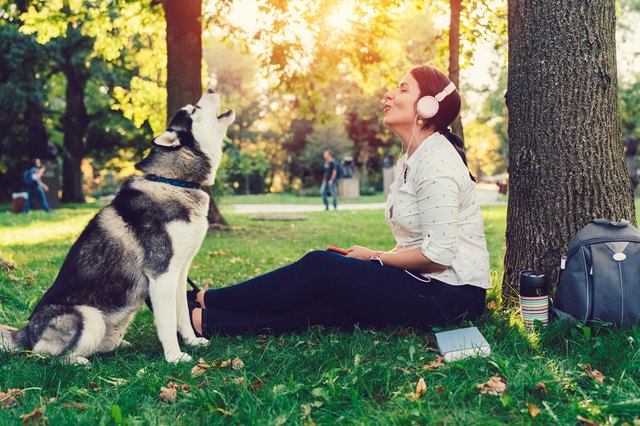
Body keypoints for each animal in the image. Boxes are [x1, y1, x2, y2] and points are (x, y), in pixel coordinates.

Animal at [0, 89, 235, 362]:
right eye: (194, 110)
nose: (210, 89)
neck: (174, 182)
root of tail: (27, 332)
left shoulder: (179, 271)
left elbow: (183, 315)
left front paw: (192, 341)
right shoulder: (161, 274)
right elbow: (167, 320)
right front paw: (174, 357)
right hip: (88, 317)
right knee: (51, 357)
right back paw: (78, 362)